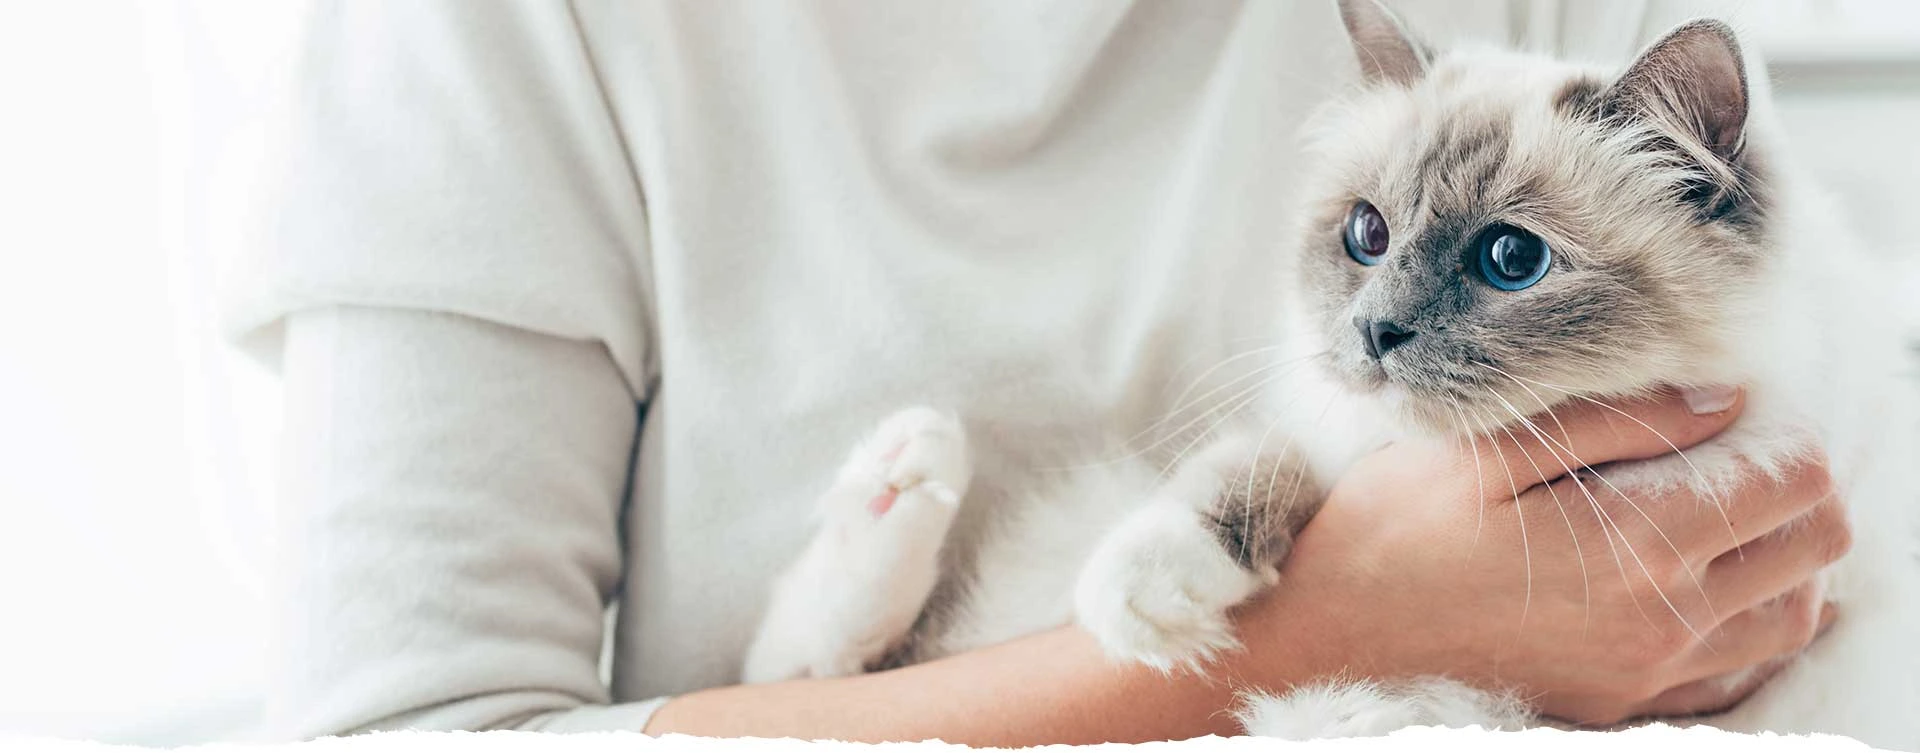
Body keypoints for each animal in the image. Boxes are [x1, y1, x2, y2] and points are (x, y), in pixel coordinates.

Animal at [737, 1, 1920, 745]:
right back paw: (905, 470)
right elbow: (1245, 472)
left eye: (1511, 259)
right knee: (806, 673)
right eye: (1366, 234)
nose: (1375, 332)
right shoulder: (1328, 433)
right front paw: (1148, 598)